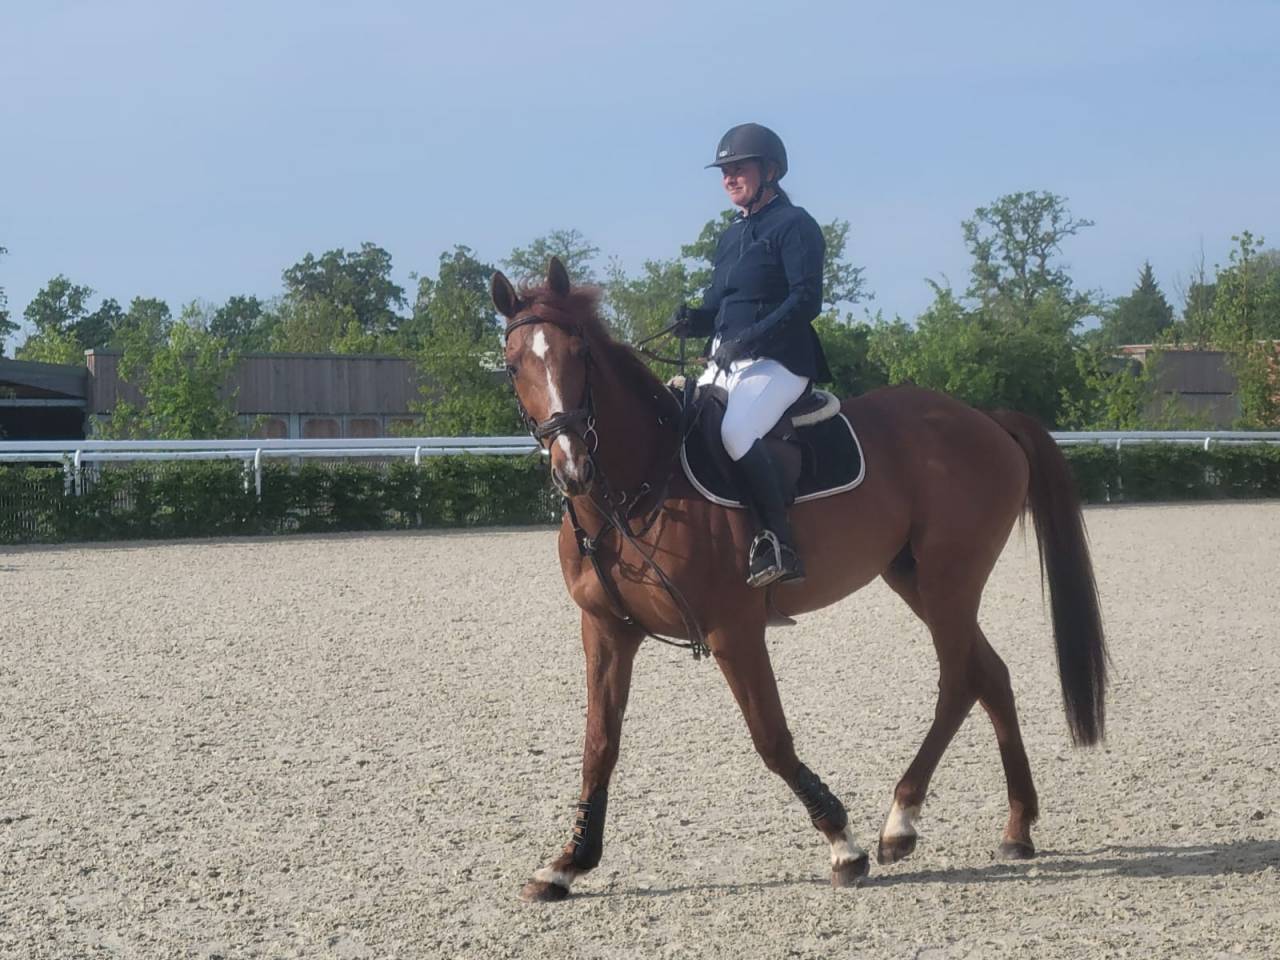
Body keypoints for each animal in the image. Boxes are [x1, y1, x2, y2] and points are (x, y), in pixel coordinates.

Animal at [493, 257, 1108, 901]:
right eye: (512, 366)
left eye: (580, 353)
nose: (572, 467)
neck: (637, 491)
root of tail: (986, 419)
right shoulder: (607, 630)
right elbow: (599, 745)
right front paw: (569, 861)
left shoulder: (734, 631)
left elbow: (771, 738)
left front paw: (843, 844)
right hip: (915, 579)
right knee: (991, 675)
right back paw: (1016, 827)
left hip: (949, 581)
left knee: (960, 680)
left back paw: (900, 822)